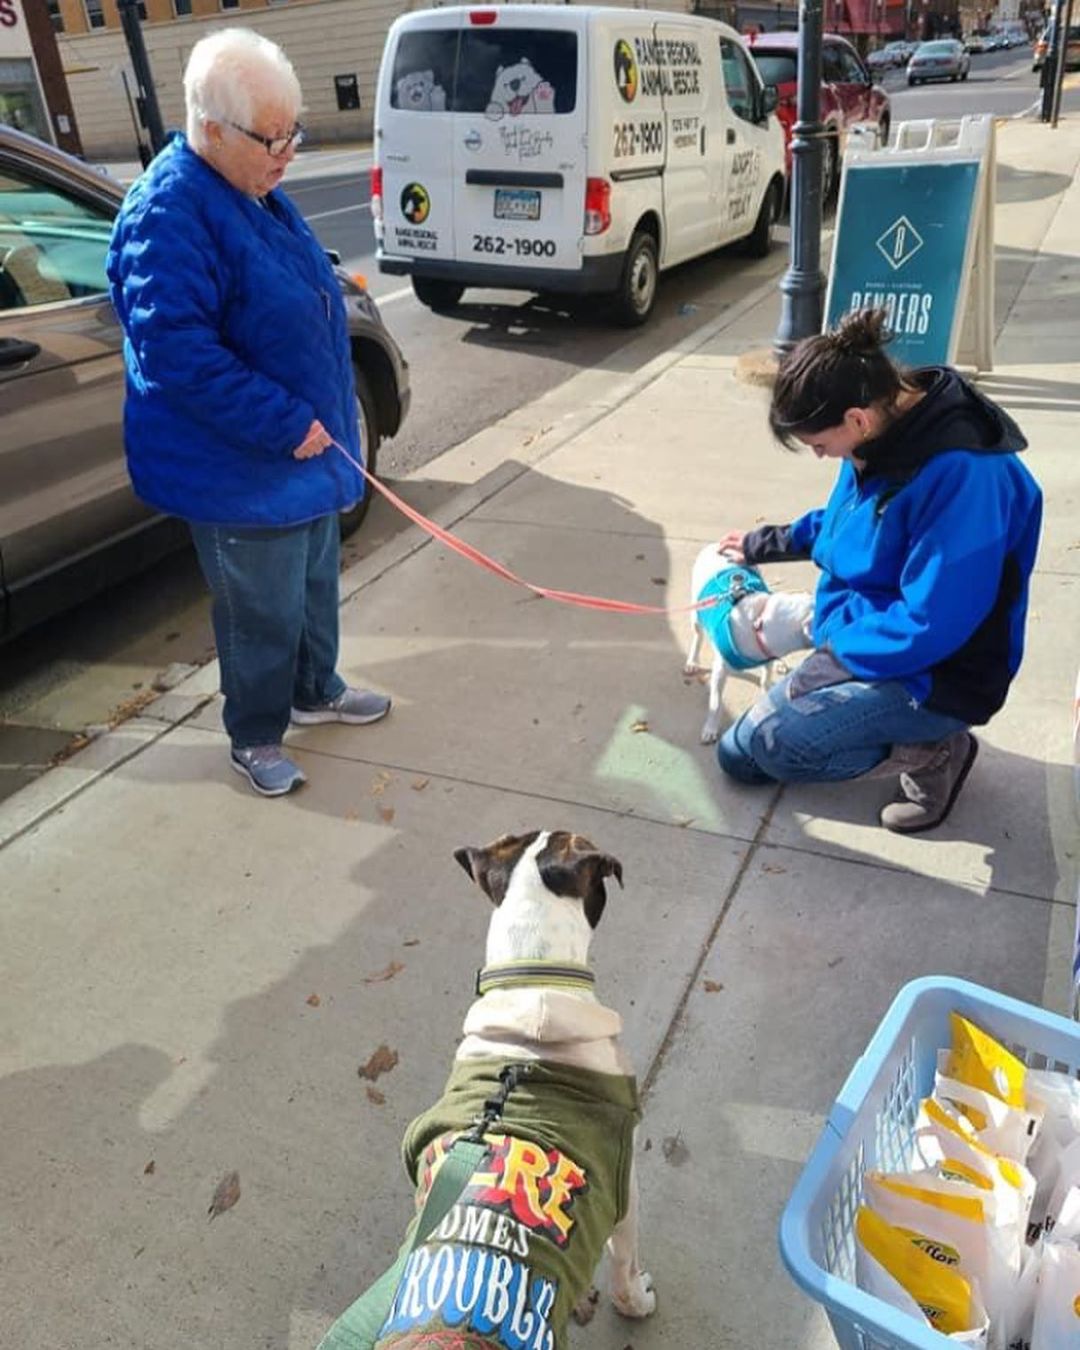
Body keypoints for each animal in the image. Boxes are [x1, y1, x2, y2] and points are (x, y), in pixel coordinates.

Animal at [688, 542, 815, 745]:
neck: (757, 622)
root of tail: (716, 545)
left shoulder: (767, 653)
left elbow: (765, 679)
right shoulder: (720, 672)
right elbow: (716, 703)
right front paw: (711, 728)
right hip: (696, 614)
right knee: (698, 636)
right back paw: (692, 661)